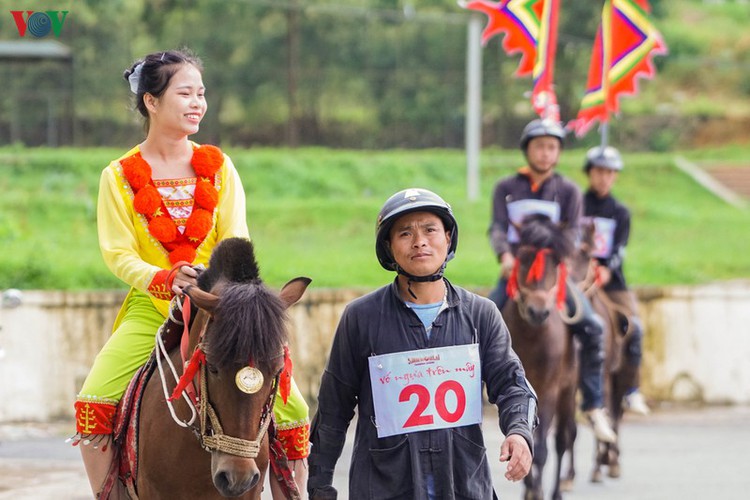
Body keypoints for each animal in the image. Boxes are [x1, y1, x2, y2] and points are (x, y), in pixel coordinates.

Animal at [506, 215, 580, 500]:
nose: (538, 312)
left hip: (568, 389)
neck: (533, 336)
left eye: (556, 262)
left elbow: (543, 449)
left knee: (562, 439)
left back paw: (557, 490)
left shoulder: (549, 388)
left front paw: (537, 490)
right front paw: (530, 488)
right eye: (523, 257)